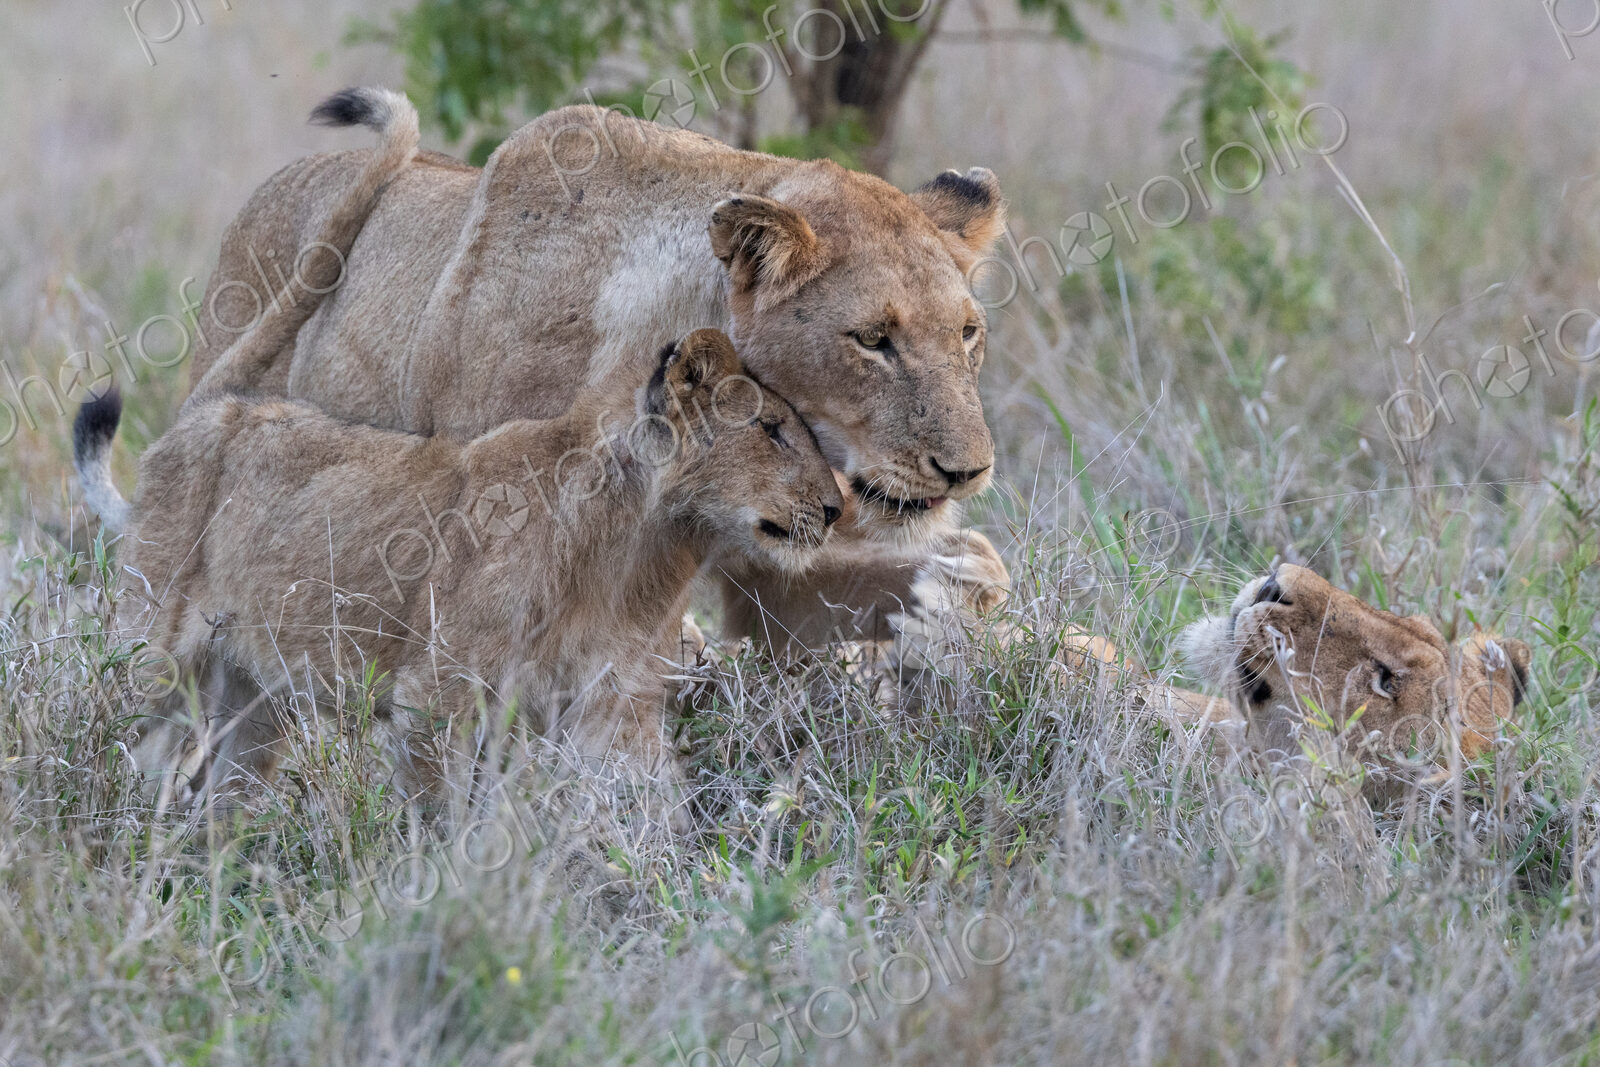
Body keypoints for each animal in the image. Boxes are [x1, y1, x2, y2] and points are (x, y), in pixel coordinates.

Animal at [74, 329, 841, 807]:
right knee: (103, 735)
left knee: (219, 798)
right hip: (152, 653)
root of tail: (190, 423)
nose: (837, 507)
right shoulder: (435, 698)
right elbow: (441, 818)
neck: (637, 546)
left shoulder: (581, 706)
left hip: (258, 694)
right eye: (771, 430)